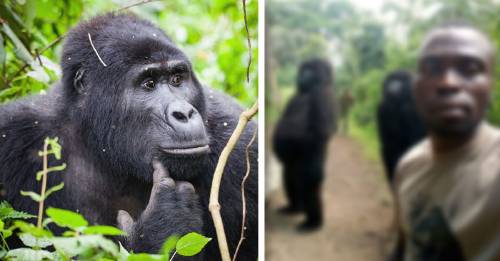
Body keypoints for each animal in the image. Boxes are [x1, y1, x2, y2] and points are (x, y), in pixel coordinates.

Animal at [0, 12, 258, 258]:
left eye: (177, 79)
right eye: (149, 84)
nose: (184, 113)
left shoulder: (238, 144)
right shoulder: (15, 136)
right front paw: (166, 220)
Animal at [272, 58, 338, 231]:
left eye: (311, 70)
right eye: (304, 69)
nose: (302, 76)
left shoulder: (322, 94)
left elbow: (320, 132)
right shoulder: (294, 97)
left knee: (310, 186)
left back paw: (313, 222)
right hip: (292, 168)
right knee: (290, 177)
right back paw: (295, 208)